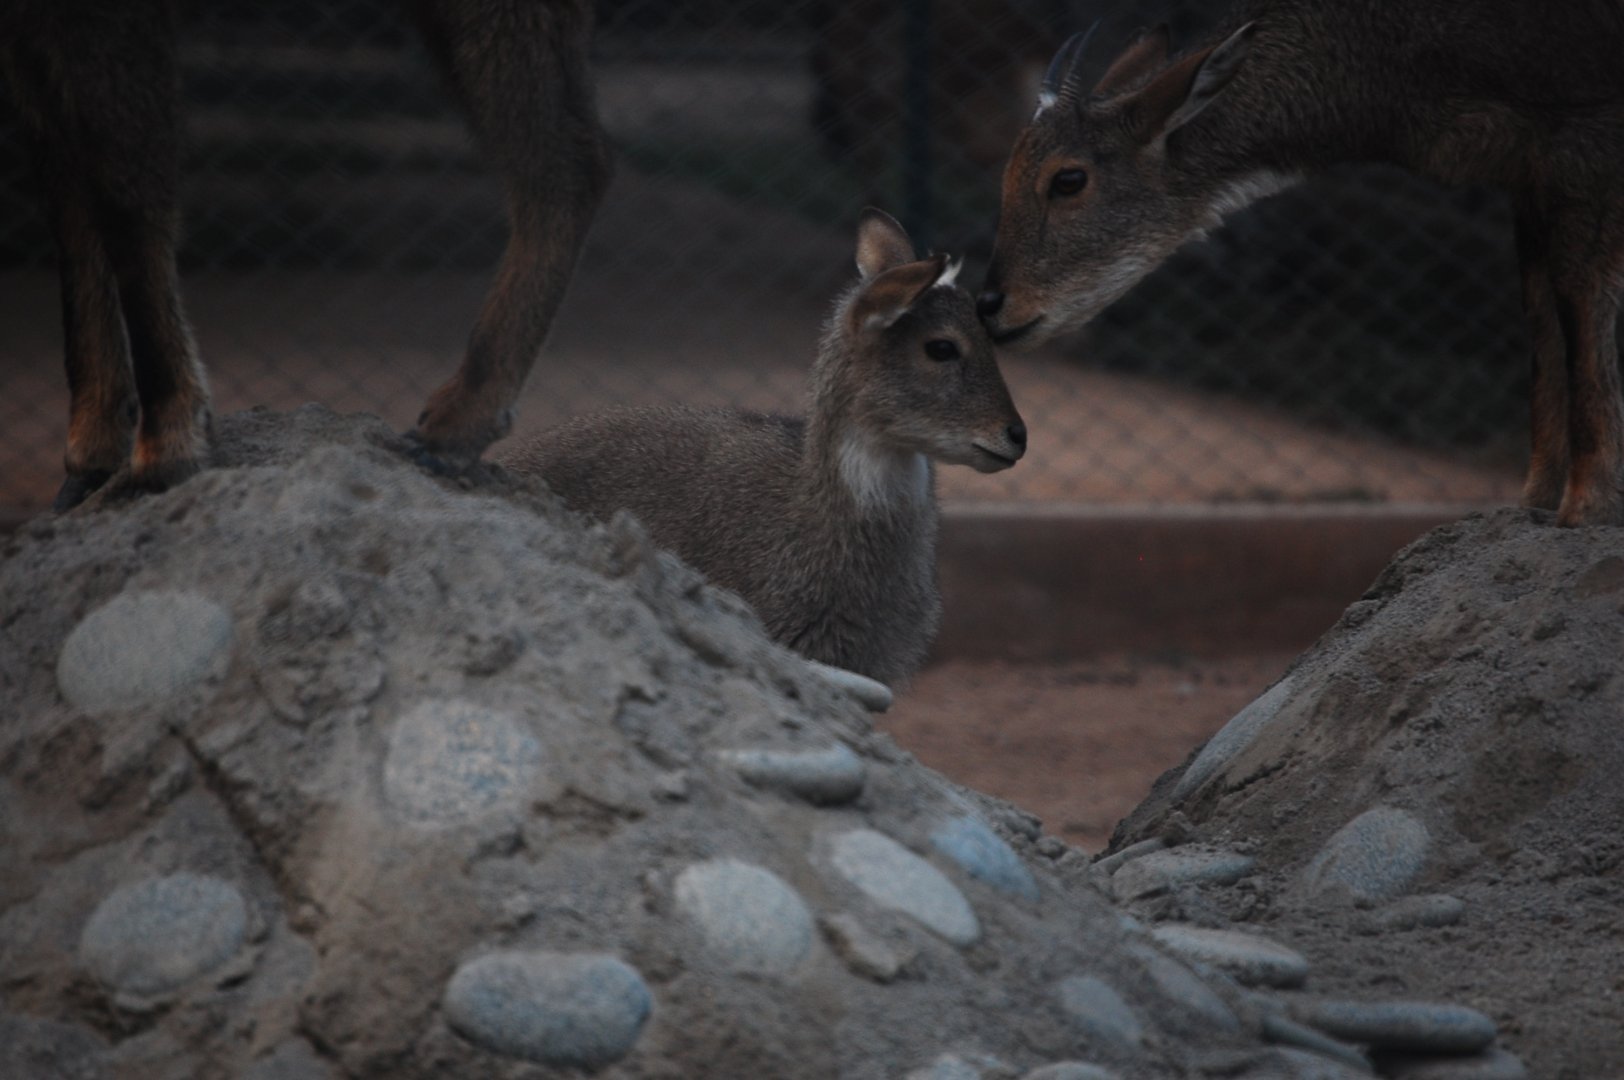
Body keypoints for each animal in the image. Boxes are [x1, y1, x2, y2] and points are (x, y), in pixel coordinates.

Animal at [0, 0, 611, 511]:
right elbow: (69, 197)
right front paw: (90, 458)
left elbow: (122, 194)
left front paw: (168, 448)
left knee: (569, 159)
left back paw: (450, 427)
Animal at [977, 2, 1624, 527]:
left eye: (1068, 178)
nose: (992, 305)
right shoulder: (1527, 172)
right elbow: (1542, 320)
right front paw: (1532, 502)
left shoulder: (1582, 135)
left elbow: (1580, 302)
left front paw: (1582, 511)